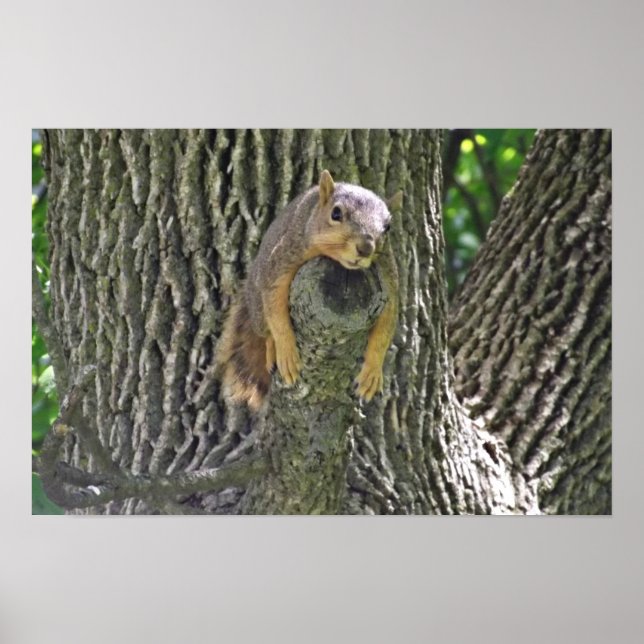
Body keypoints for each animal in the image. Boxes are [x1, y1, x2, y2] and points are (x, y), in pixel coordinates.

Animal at [217, 169, 401, 411]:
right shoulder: (284, 258)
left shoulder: (388, 279)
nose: (366, 248)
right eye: (336, 213)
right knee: (265, 329)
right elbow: (276, 308)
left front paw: (372, 372)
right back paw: (272, 348)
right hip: (257, 305)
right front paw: (286, 351)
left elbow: (385, 329)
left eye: (387, 227)